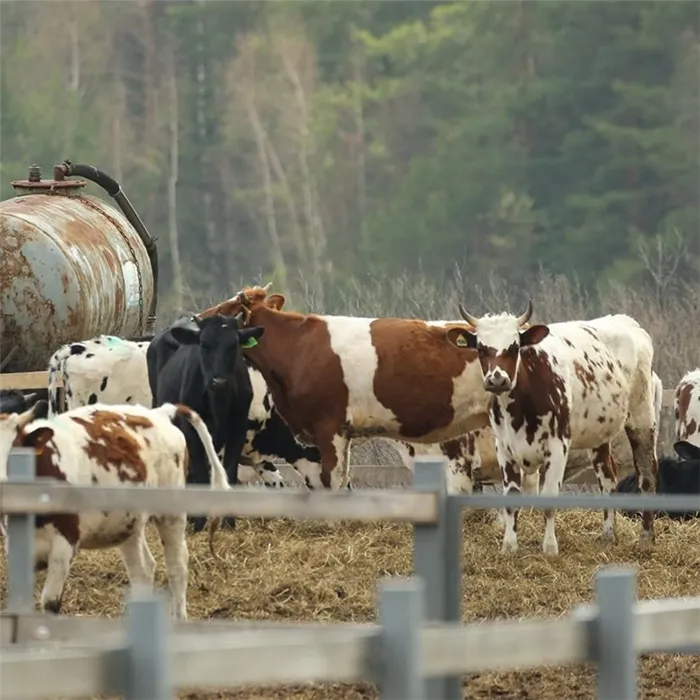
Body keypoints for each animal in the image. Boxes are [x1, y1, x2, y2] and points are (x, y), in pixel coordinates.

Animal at [147, 312, 266, 532]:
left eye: (234, 344)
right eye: (203, 344)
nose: (219, 382)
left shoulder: (238, 429)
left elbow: (230, 472)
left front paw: (229, 522)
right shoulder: (192, 431)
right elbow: (201, 473)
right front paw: (199, 522)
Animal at [446, 304, 660, 556]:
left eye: (515, 346)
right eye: (480, 348)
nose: (497, 380)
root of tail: (626, 321)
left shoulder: (558, 447)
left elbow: (548, 499)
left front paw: (549, 547)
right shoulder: (504, 449)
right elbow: (511, 498)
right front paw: (510, 546)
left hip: (642, 419)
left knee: (646, 474)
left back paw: (646, 538)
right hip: (600, 433)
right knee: (608, 478)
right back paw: (608, 535)